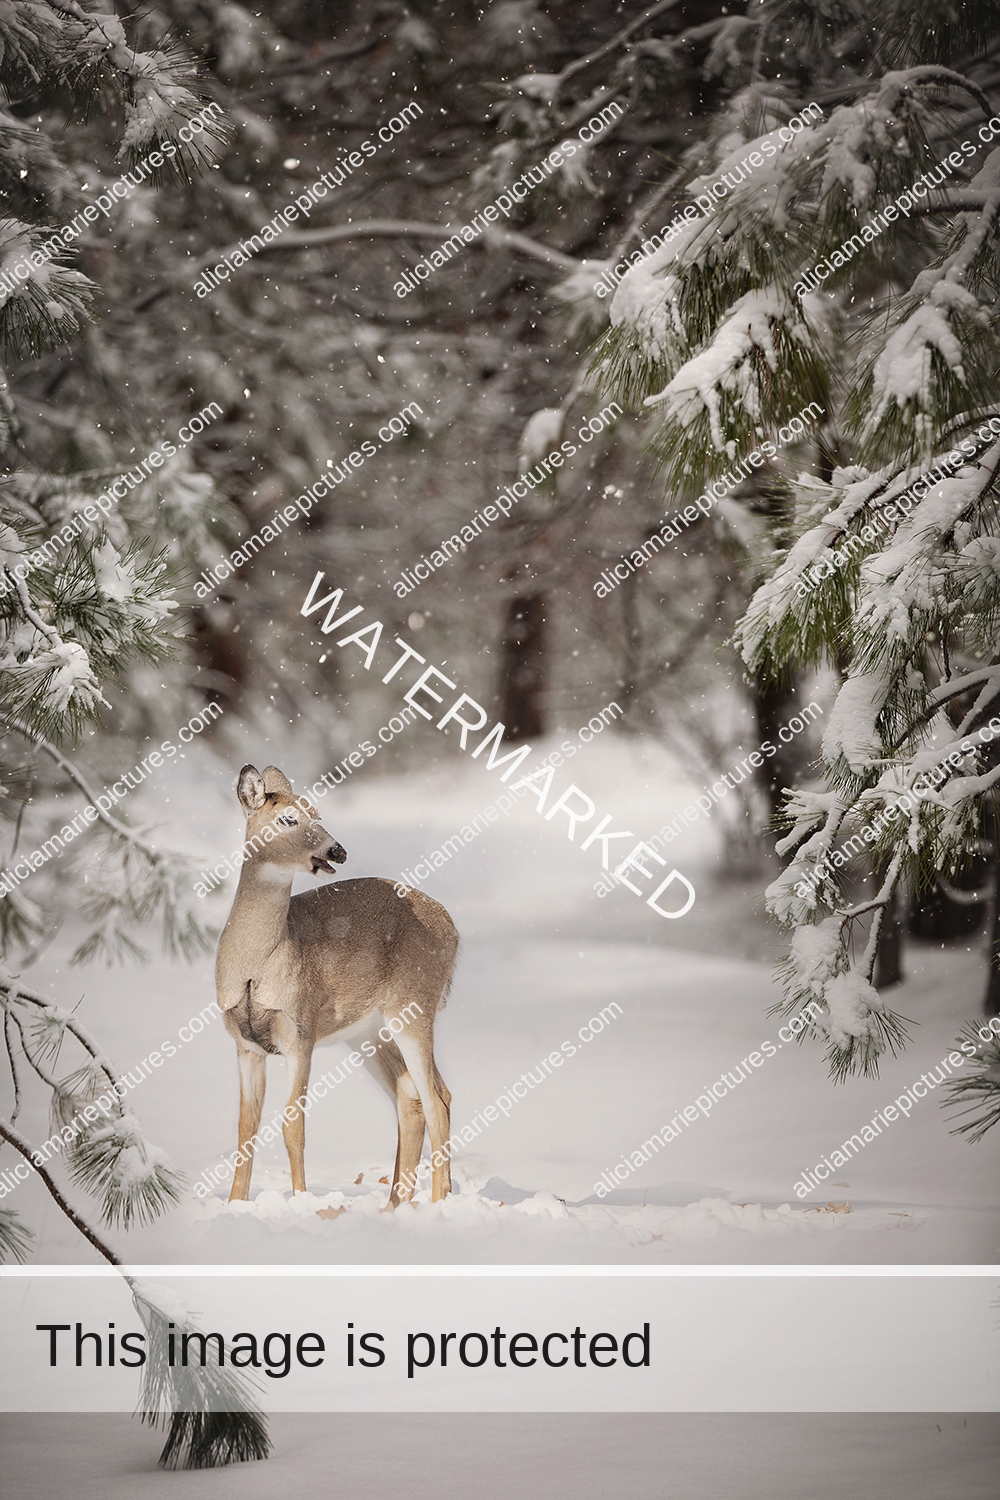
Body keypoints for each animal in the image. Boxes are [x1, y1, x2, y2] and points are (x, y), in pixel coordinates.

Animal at [217, 774, 458, 1206]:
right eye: (288, 818)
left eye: (318, 814)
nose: (337, 850)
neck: (255, 967)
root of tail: (454, 930)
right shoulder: (244, 1043)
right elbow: (246, 1128)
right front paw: (234, 1205)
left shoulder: (300, 1031)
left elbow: (293, 1125)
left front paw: (300, 1200)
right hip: (368, 1032)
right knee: (413, 1096)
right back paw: (395, 1205)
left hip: (413, 1006)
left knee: (436, 1100)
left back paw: (437, 1202)